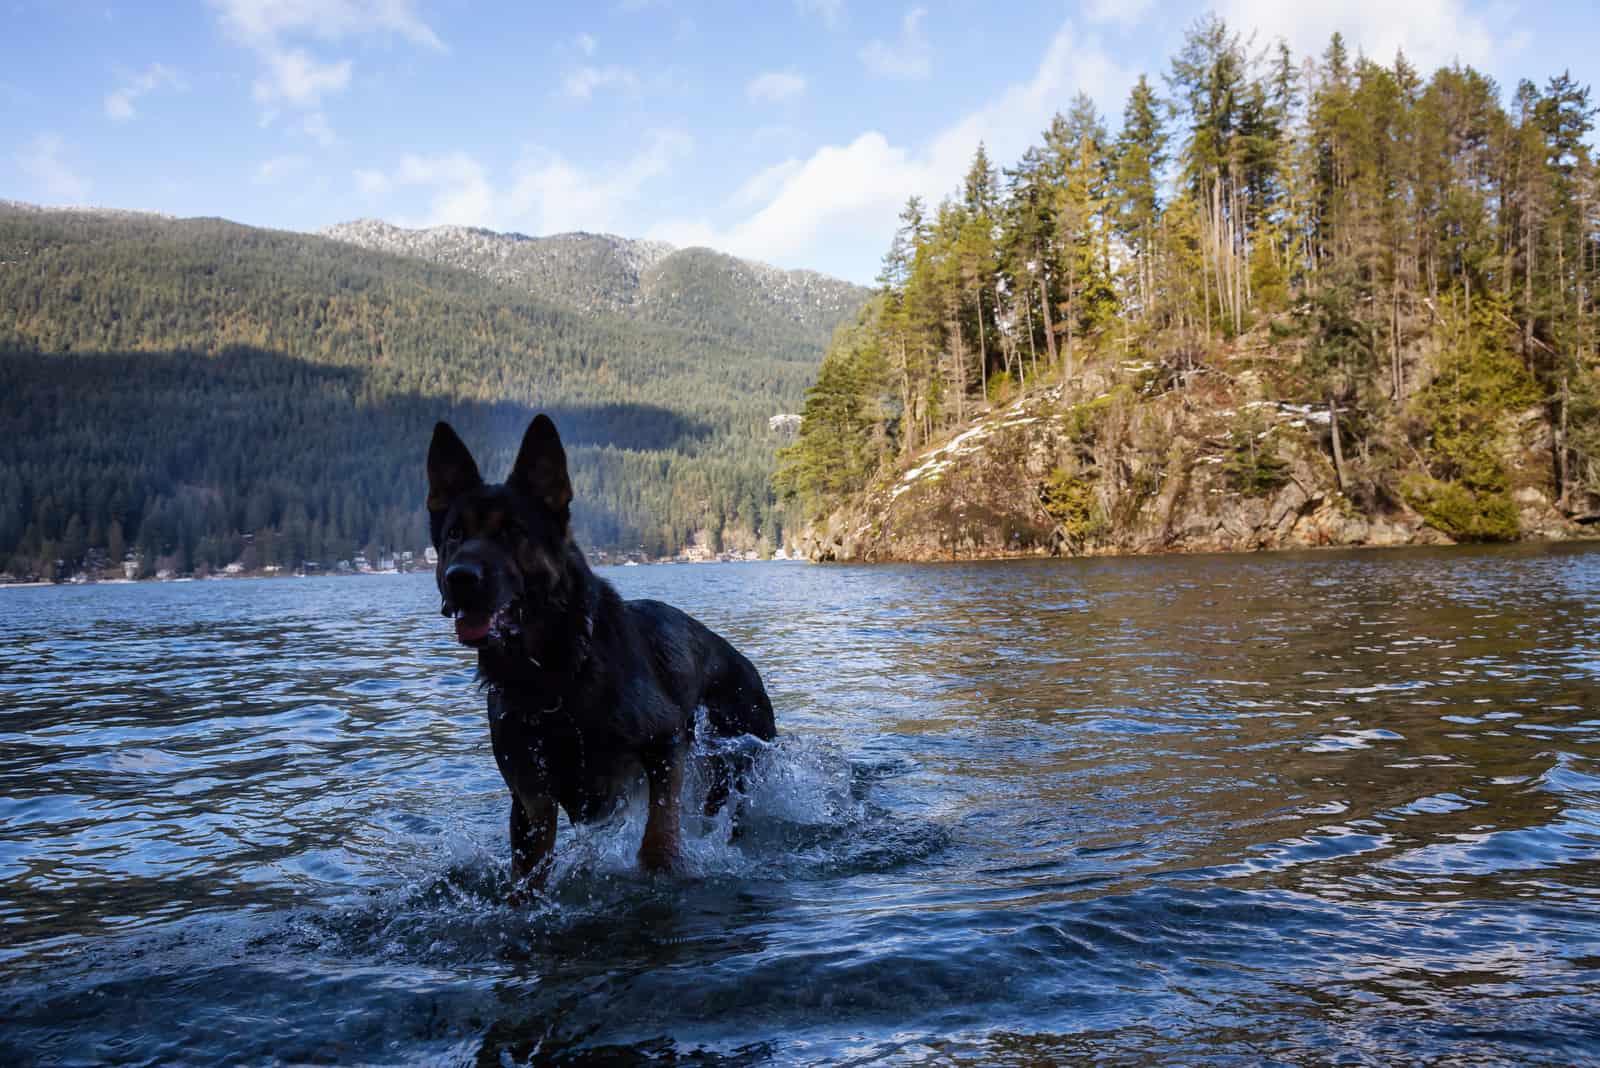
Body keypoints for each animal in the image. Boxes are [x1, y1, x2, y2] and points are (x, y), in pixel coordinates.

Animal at [425, 412, 774, 888]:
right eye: (455, 535)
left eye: (514, 531)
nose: (460, 578)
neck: (552, 676)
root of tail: (747, 665)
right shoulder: (532, 799)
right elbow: (526, 881)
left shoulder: (665, 745)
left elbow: (658, 838)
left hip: (732, 767)